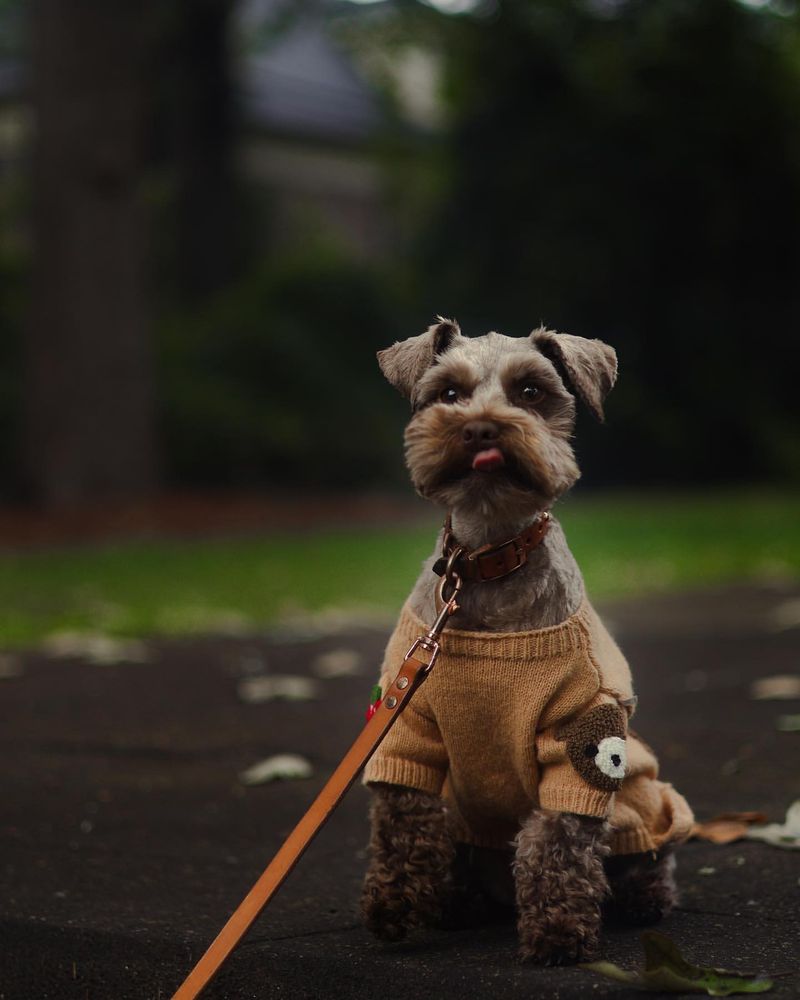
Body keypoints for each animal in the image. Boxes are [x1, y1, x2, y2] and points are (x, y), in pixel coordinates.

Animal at [360, 318, 692, 960]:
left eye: (532, 392)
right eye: (449, 393)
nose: (481, 427)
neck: (488, 564)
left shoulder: (581, 739)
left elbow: (557, 839)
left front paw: (559, 930)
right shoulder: (406, 726)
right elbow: (403, 820)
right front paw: (393, 907)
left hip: (644, 795)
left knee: (650, 857)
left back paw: (643, 898)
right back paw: (459, 903)